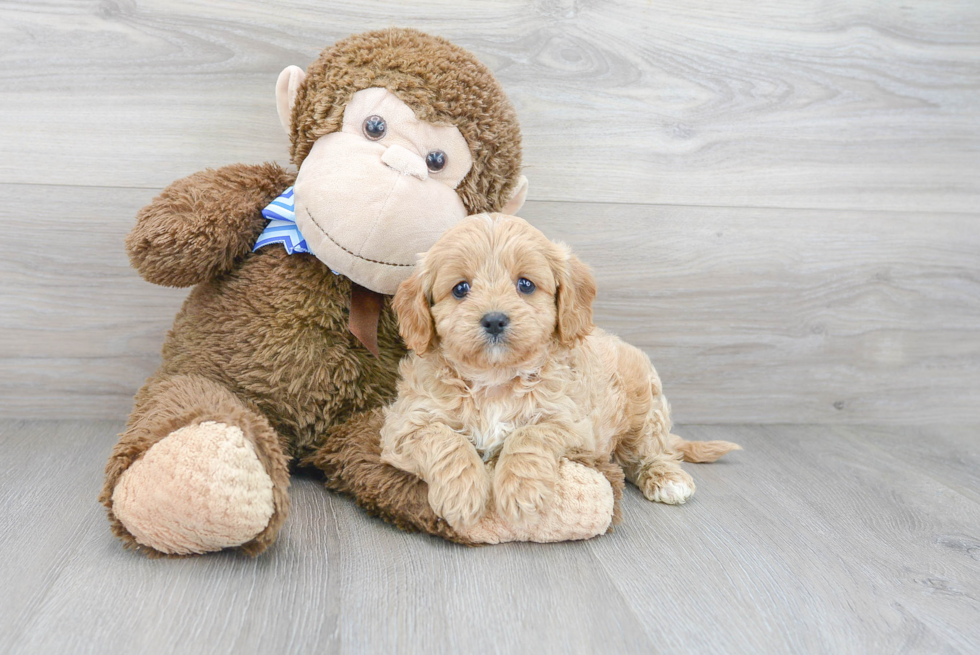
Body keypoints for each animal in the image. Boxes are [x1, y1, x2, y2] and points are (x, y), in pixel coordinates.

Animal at [378, 213, 740, 532]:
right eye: (460, 289)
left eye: (525, 284)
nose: (494, 319)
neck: (495, 381)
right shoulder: (405, 423)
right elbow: (445, 439)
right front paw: (463, 492)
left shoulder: (572, 423)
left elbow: (530, 434)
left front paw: (520, 490)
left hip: (646, 412)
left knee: (652, 452)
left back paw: (667, 478)